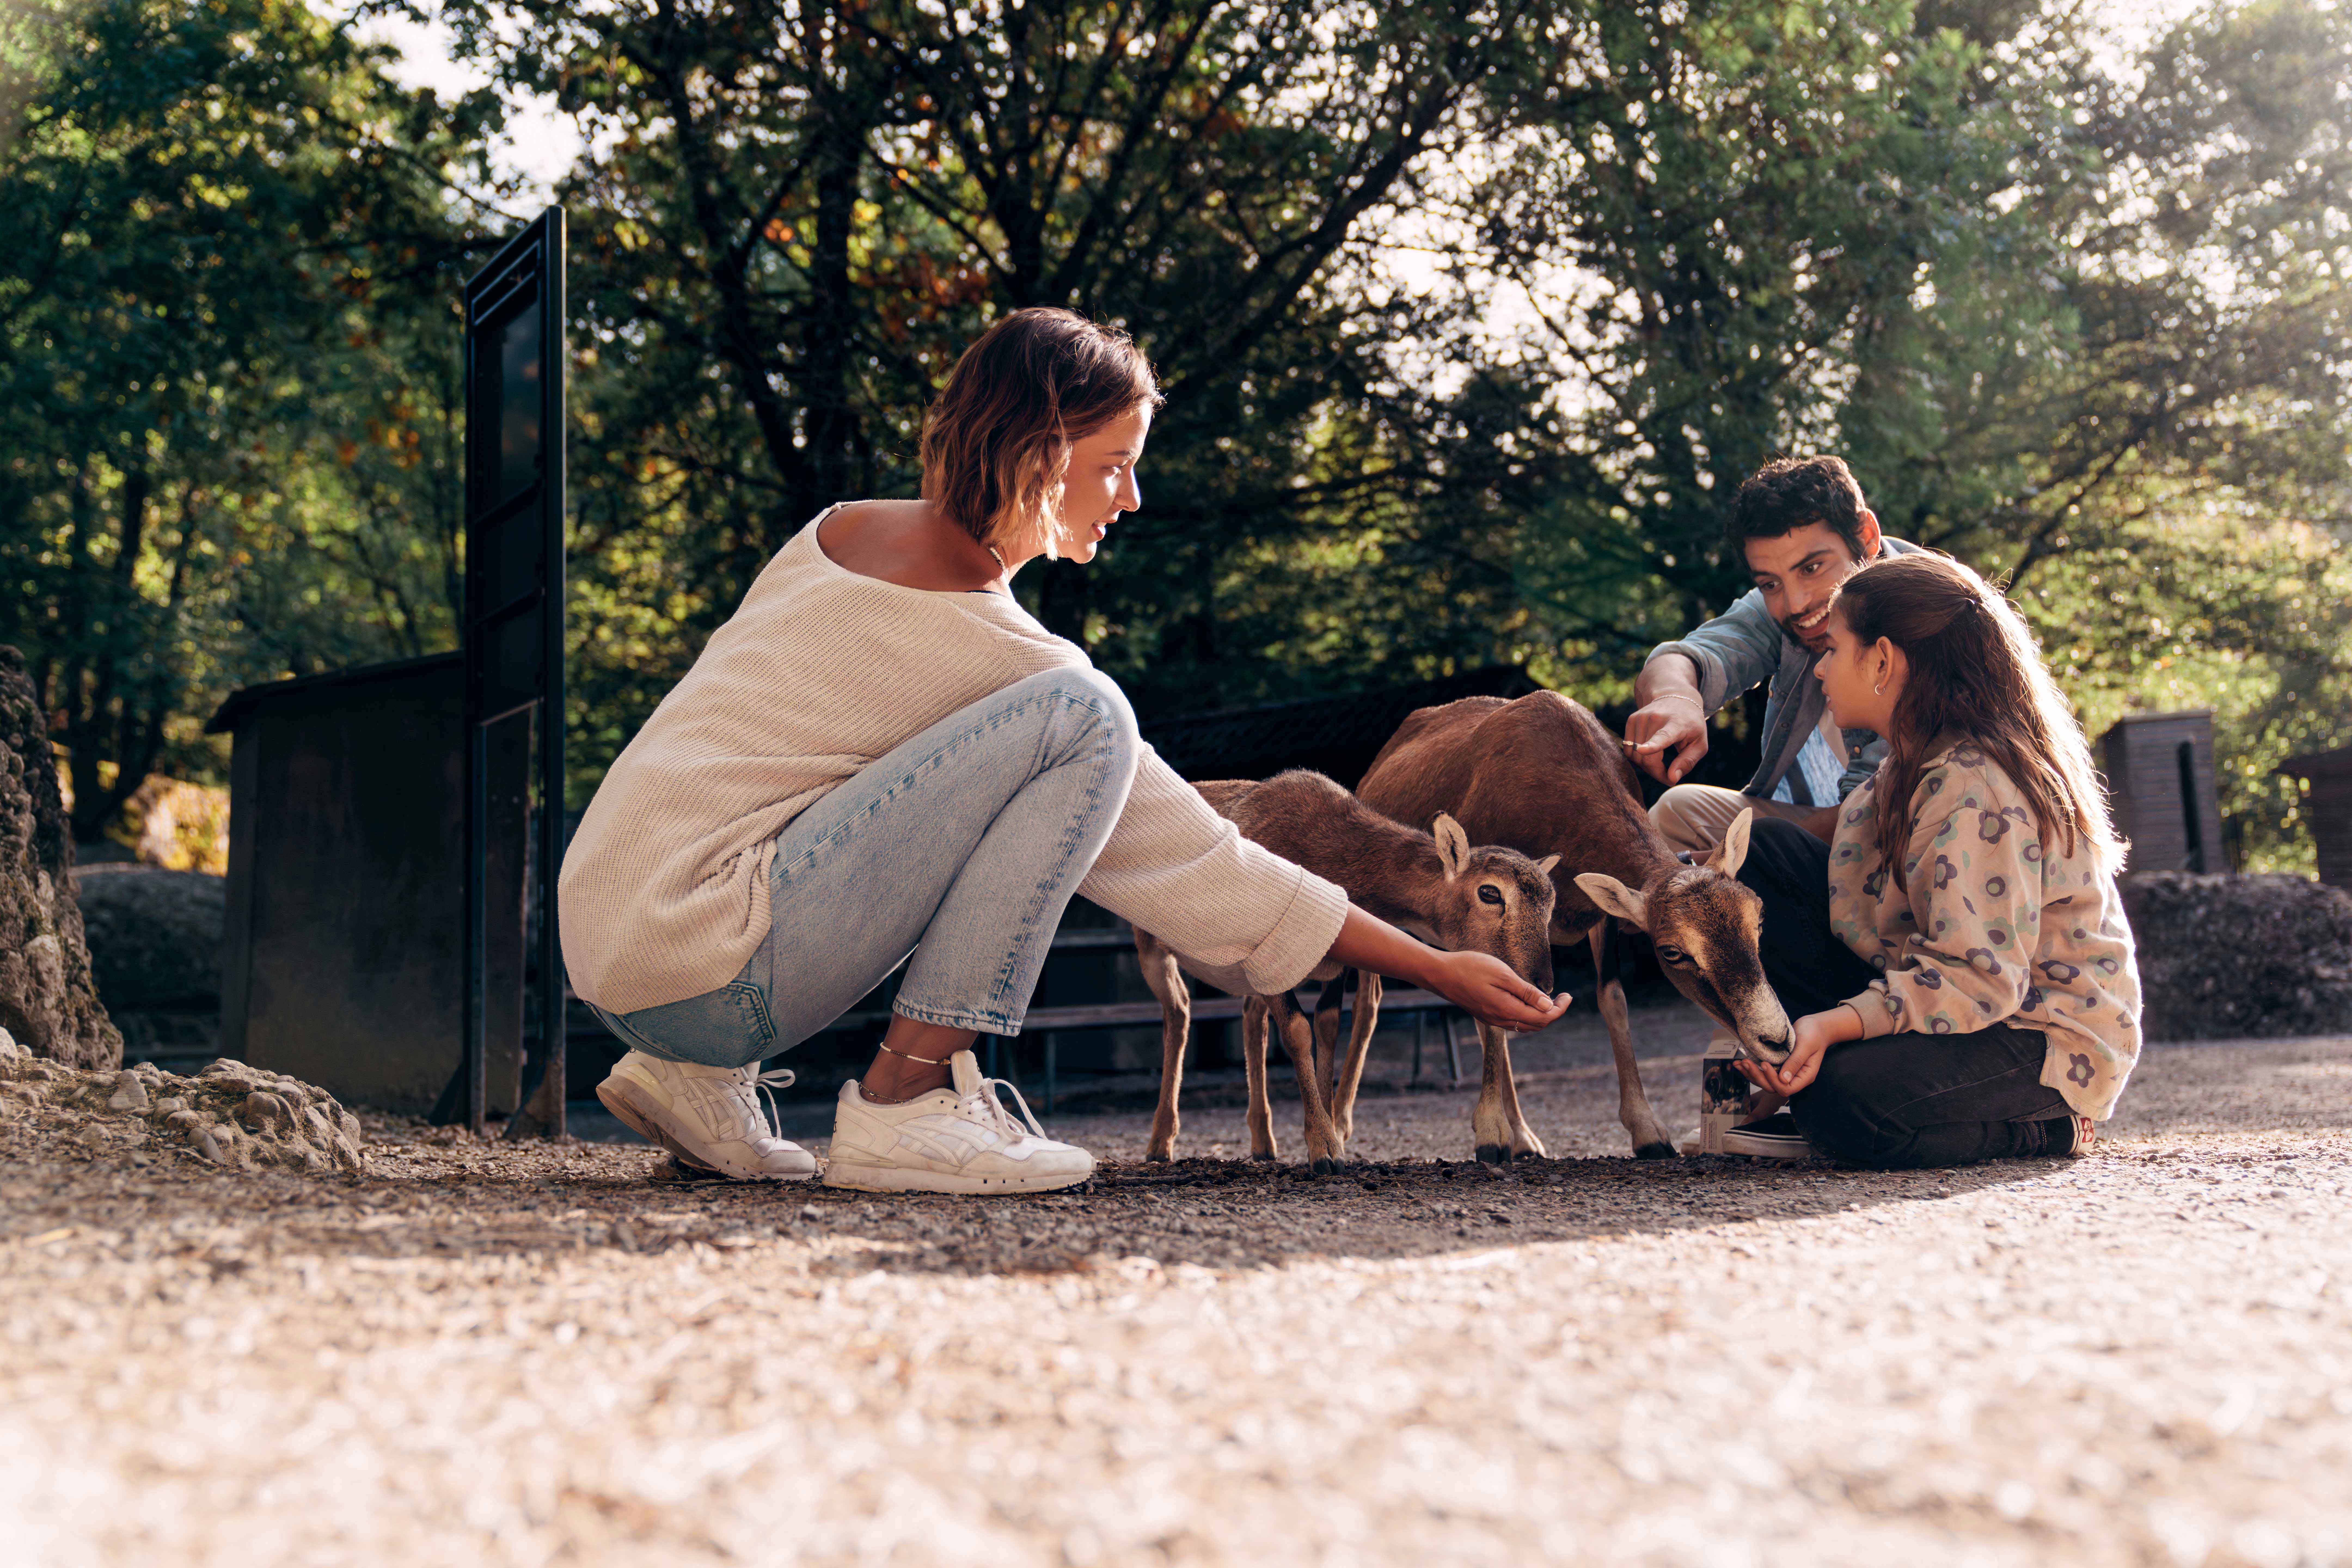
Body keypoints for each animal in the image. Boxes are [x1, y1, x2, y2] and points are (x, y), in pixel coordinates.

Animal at [1130, 770, 1558, 1173]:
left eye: (1551, 902)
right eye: (1490, 892)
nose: (1543, 983)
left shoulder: (1334, 968)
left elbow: (1329, 1026)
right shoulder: (1269, 953)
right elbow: (1299, 1032)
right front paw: (1324, 1149)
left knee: (1250, 1018)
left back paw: (1263, 1142)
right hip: (1150, 946)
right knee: (1179, 1011)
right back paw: (1160, 1143)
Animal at [1354, 691, 1794, 1162]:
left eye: (1758, 916)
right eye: (1673, 951)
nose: (1777, 1040)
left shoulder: (1602, 919)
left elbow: (1612, 999)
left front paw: (1649, 1132)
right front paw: (1489, 1134)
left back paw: (1525, 1139)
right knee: (1369, 1004)